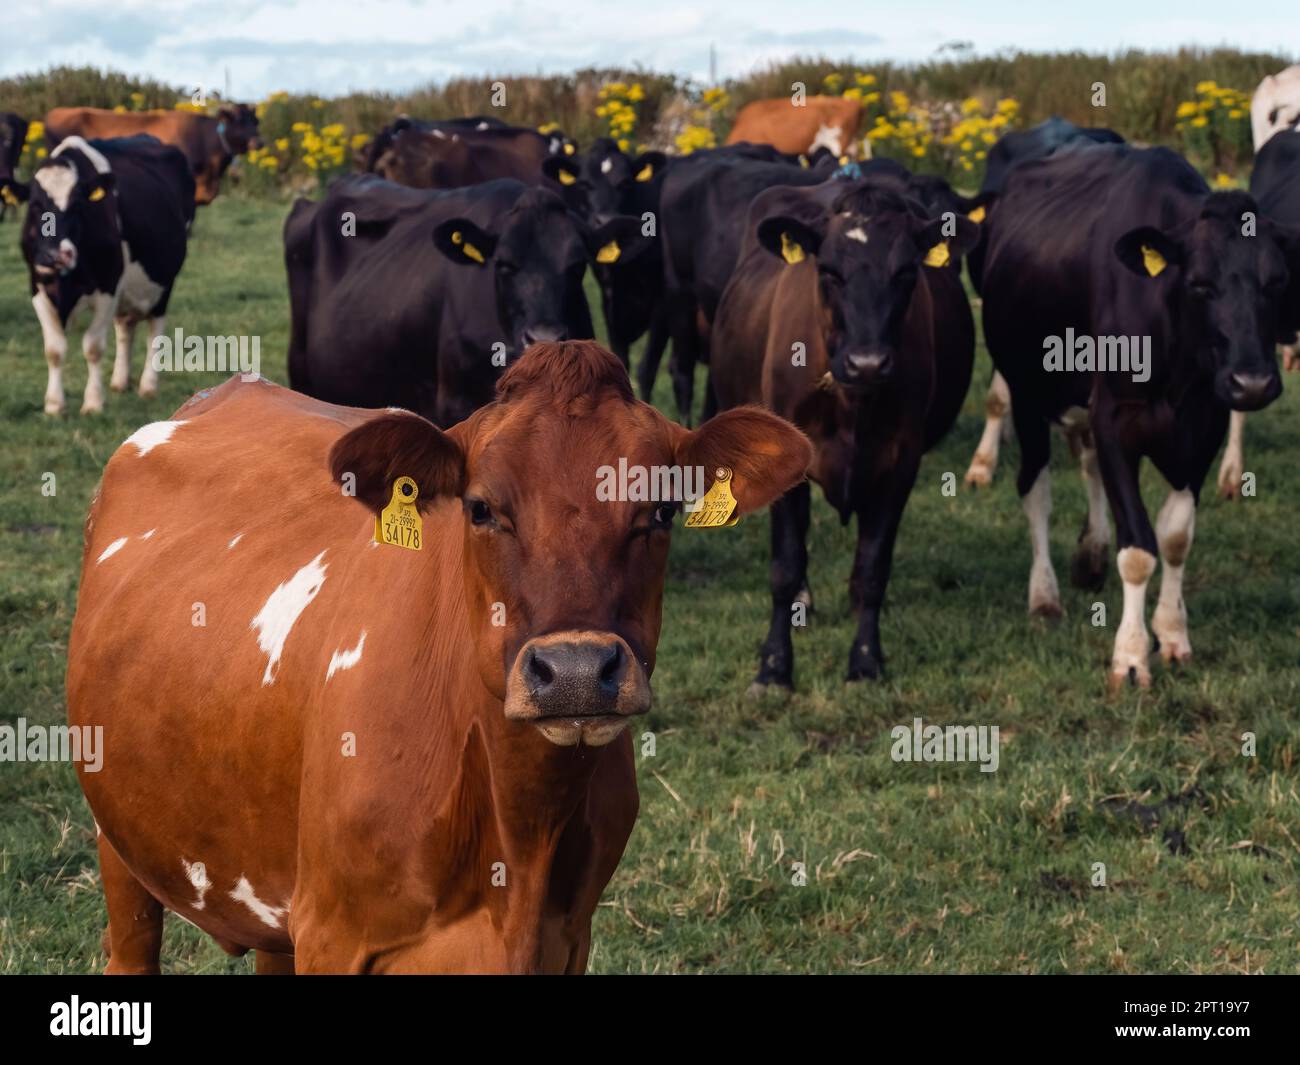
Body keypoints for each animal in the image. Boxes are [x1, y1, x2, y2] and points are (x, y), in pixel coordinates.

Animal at [17, 135, 194, 415]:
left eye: (78, 205)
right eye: (35, 206)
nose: (54, 256)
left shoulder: (108, 287)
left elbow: (93, 347)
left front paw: (93, 403)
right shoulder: (38, 287)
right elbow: (54, 350)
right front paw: (54, 405)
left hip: (165, 282)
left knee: (155, 331)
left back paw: (148, 386)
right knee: (125, 328)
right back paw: (120, 381)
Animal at [66, 341, 812, 974]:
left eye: (659, 511)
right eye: (480, 508)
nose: (574, 672)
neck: (520, 837)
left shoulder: (571, 935)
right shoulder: (333, 934)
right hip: (119, 840)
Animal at [711, 178, 981, 686]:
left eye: (906, 272)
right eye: (829, 272)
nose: (867, 363)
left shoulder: (902, 461)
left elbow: (875, 566)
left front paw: (866, 660)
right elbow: (785, 564)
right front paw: (775, 666)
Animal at [979, 143, 1291, 689]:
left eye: (1276, 282)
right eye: (1199, 284)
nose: (1252, 383)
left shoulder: (1204, 423)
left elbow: (1176, 536)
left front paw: (1172, 634)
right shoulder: (1113, 416)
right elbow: (1140, 547)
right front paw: (1129, 656)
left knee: (1087, 467)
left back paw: (1091, 555)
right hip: (1026, 390)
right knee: (1035, 488)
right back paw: (1045, 595)